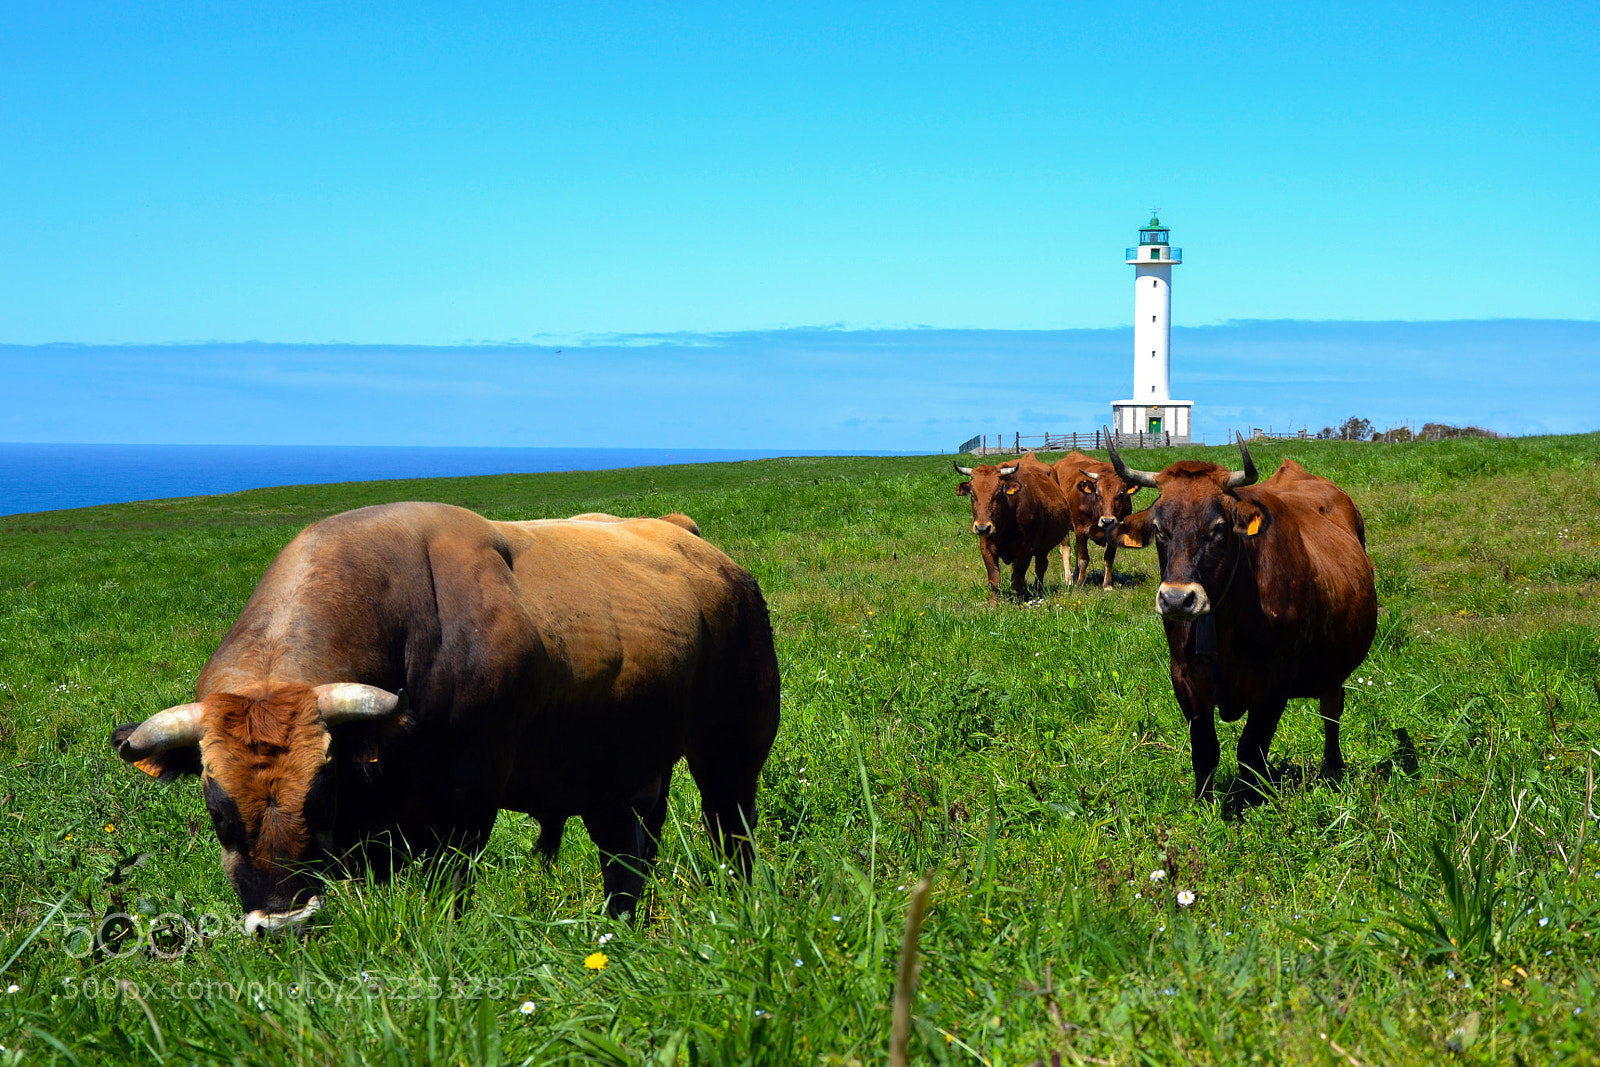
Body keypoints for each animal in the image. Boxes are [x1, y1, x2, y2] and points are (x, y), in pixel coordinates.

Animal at [110, 502, 780, 932]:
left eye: (319, 797)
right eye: (218, 814)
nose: (284, 923)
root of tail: (689, 539)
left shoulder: (463, 810)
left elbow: (448, 897)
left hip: (732, 753)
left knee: (732, 834)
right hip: (620, 772)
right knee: (629, 854)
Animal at [953, 454, 1075, 601]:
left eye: (998, 493)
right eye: (972, 494)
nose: (982, 528)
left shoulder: (1026, 550)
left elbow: (1017, 579)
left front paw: (1017, 603)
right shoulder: (986, 548)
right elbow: (994, 580)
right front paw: (993, 604)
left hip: (1055, 539)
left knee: (1046, 564)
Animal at [1049, 451, 1142, 588]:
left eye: (1120, 494)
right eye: (1097, 494)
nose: (1107, 521)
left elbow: (1109, 558)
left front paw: (1107, 584)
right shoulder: (1081, 529)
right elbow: (1083, 558)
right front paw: (1080, 584)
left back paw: (1075, 576)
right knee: (1066, 550)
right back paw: (1069, 580)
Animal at [1108, 437, 1377, 813]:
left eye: (1218, 528)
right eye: (1159, 529)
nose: (1177, 599)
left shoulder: (1275, 683)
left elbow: (1251, 750)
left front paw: (1250, 804)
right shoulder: (1184, 677)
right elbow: (1205, 750)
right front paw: (1203, 807)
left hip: (1334, 665)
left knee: (1331, 709)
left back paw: (1332, 767)